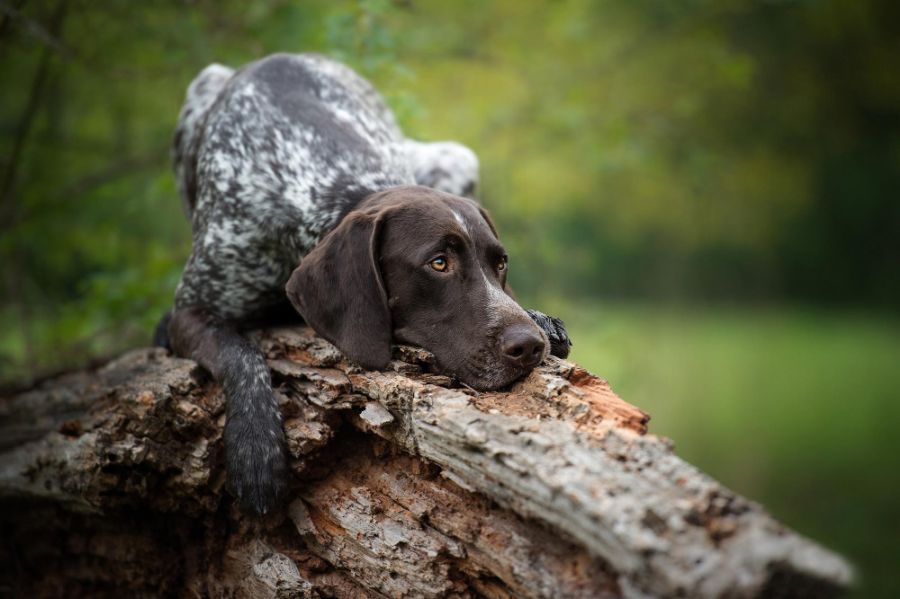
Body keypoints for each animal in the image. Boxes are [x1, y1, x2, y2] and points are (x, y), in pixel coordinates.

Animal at [156, 52, 568, 516]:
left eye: (500, 263)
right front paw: (255, 452)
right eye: (438, 263)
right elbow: (240, 355)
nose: (529, 346)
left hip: (457, 157)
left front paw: (541, 319)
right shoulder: (189, 311)